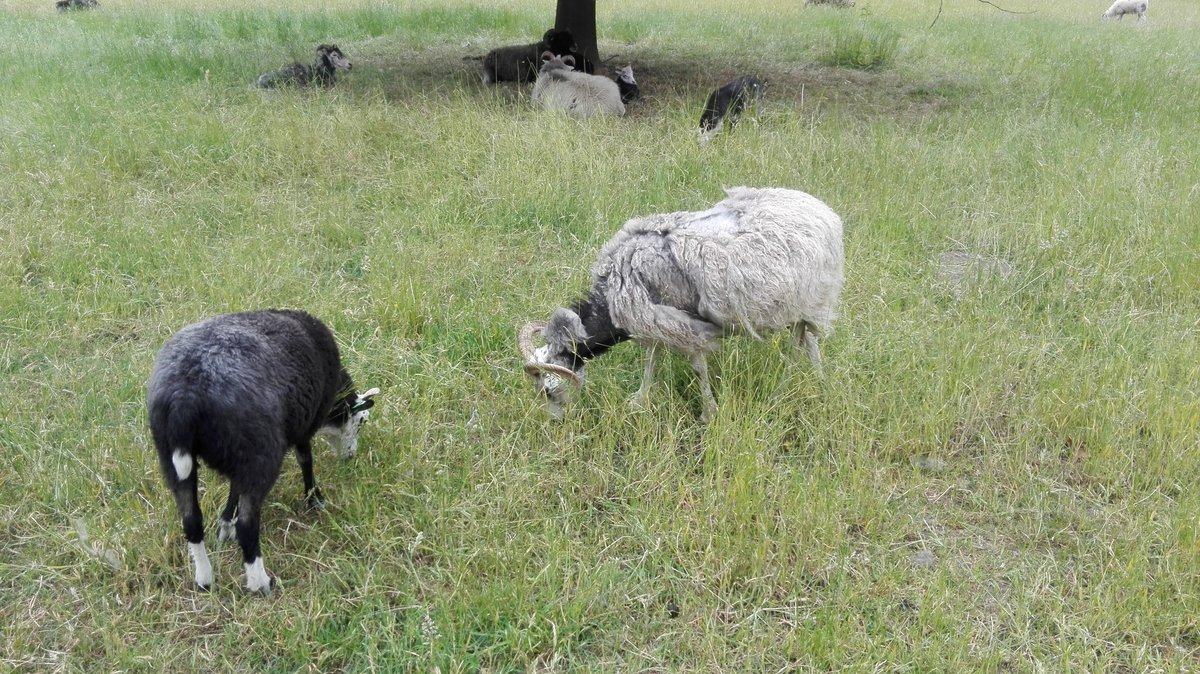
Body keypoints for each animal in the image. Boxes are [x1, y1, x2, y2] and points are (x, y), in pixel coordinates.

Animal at [148, 309, 379, 592]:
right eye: (361, 422)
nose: (351, 456)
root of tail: (185, 395)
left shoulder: (240, 458)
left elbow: (234, 489)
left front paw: (226, 524)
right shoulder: (302, 426)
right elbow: (306, 460)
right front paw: (314, 499)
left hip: (174, 457)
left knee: (191, 520)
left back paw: (205, 579)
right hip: (261, 452)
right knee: (248, 526)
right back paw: (260, 583)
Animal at [518, 185, 844, 422]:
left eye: (547, 391)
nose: (556, 423)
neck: (610, 299)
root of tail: (824, 211)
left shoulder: (682, 327)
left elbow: (697, 367)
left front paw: (709, 413)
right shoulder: (654, 325)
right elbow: (651, 360)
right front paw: (639, 401)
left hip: (811, 299)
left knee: (804, 345)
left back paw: (791, 389)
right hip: (795, 305)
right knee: (807, 341)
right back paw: (816, 384)